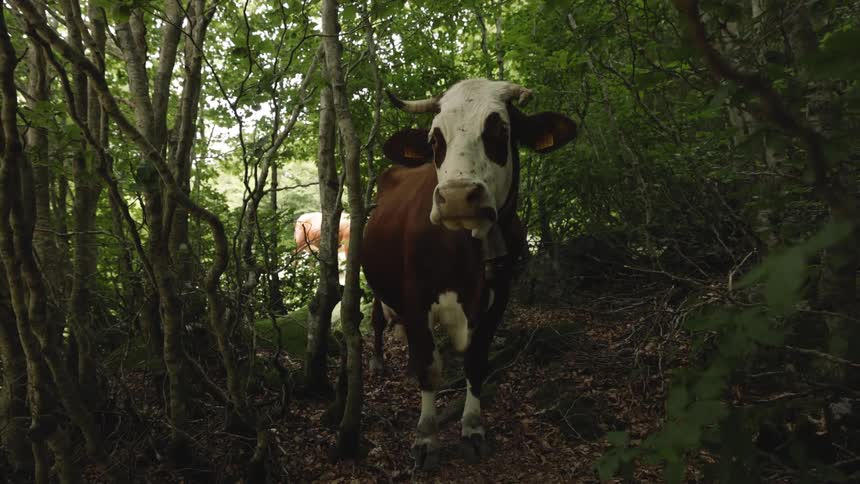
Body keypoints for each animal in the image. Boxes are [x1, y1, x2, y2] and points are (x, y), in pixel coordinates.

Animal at [361, 78, 577, 469]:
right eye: (434, 140)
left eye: (500, 130)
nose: (458, 196)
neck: (465, 248)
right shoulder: (415, 298)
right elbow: (430, 367)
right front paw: (426, 437)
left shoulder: (498, 297)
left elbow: (476, 364)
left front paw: (473, 429)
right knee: (377, 319)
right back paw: (378, 360)